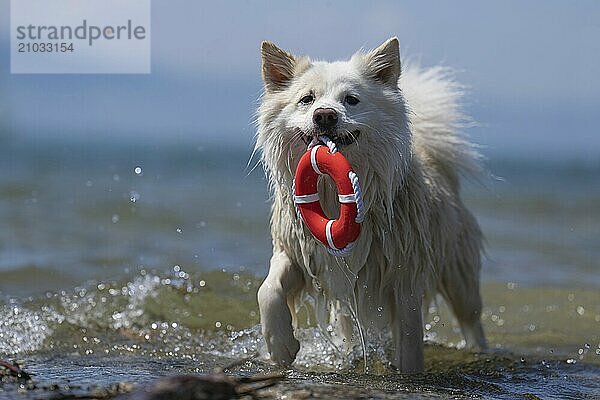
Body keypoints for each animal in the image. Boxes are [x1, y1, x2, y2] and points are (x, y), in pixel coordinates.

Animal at [255, 37, 486, 372]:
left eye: (351, 100)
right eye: (307, 99)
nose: (325, 115)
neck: (331, 195)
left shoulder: (404, 278)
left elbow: (410, 341)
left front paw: (408, 375)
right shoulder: (298, 252)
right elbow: (268, 290)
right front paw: (281, 347)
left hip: (458, 272)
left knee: (472, 320)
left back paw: (480, 351)